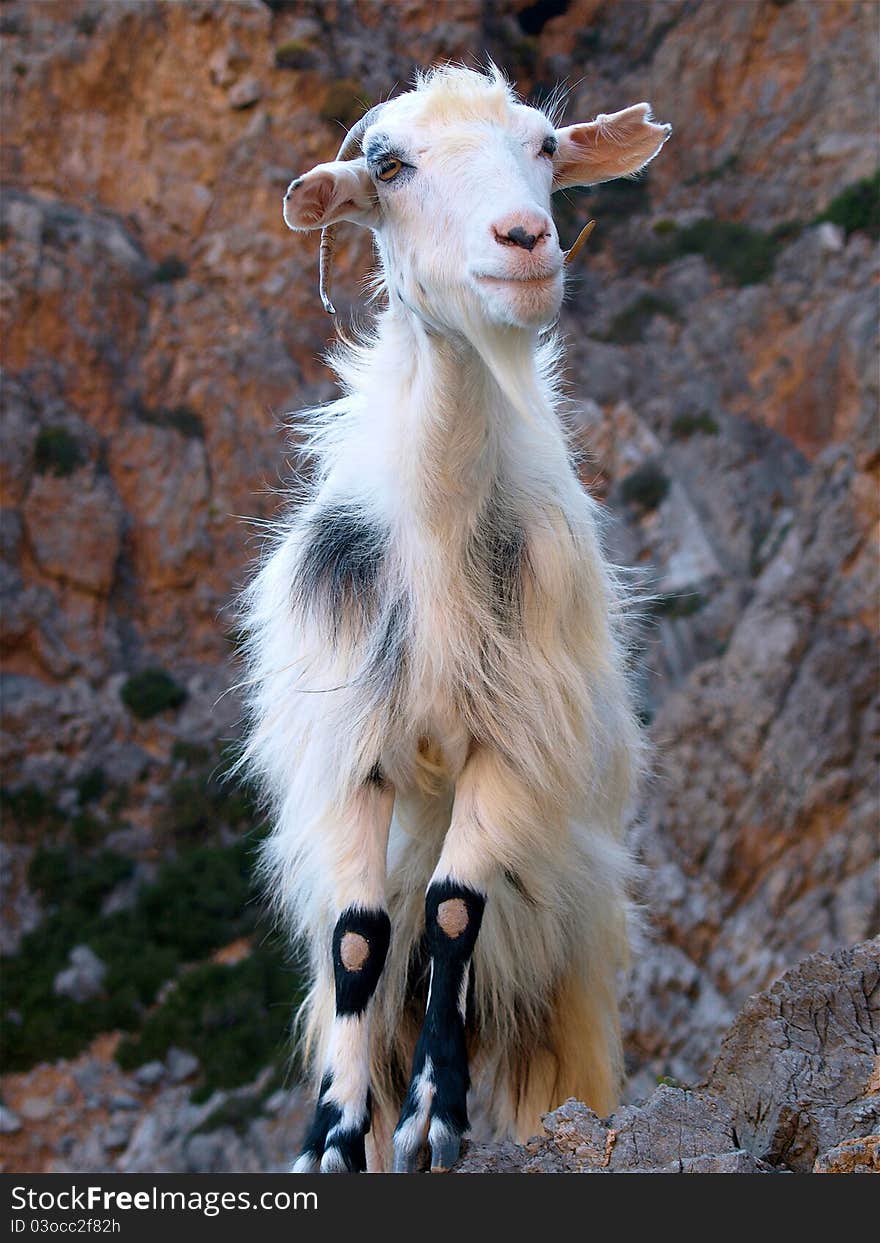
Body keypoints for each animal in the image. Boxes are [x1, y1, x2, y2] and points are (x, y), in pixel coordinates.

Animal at [237, 65, 671, 1173]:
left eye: (546, 147)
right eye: (389, 165)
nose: (525, 239)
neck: (435, 533)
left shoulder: (510, 739)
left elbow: (450, 911)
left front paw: (437, 1114)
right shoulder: (351, 744)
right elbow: (359, 937)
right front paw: (333, 1135)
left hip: (568, 970)